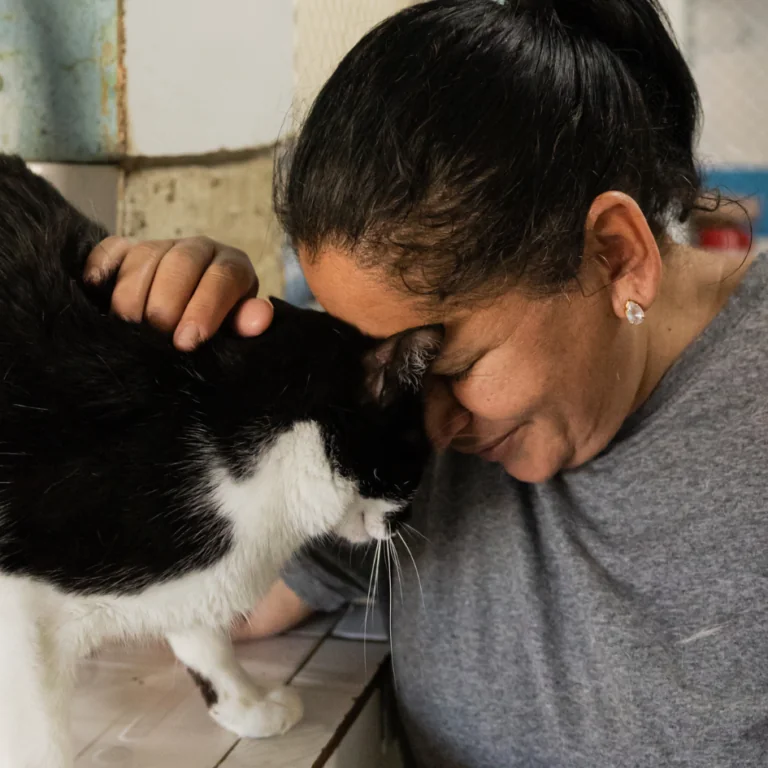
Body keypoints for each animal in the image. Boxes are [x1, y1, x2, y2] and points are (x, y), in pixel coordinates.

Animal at [0, 158, 438, 768]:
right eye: (416, 458)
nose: (409, 519)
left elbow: (203, 635)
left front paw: (245, 703)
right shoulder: (16, 604)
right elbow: (38, 737)